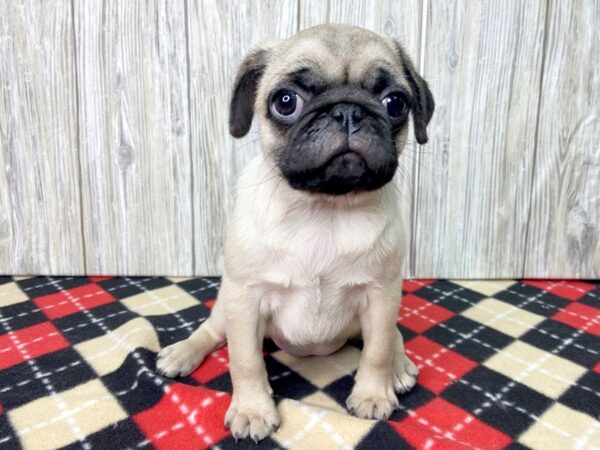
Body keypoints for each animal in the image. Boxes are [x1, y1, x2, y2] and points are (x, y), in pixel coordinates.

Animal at [157, 22, 434, 442]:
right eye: (285, 102)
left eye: (395, 103)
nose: (348, 111)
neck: (324, 209)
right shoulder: (245, 299)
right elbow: (244, 360)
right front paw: (253, 409)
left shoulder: (381, 295)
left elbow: (378, 350)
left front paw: (373, 394)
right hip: (226, 306)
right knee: (212, 331)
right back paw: (182, 353)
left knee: (392, 338)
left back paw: (399, 367)